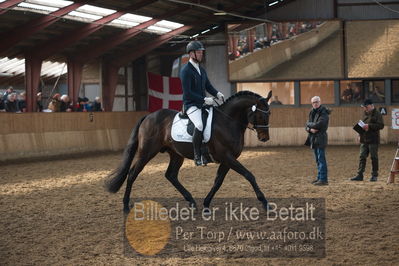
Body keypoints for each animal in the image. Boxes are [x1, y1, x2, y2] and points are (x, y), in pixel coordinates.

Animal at [104, 90, 274, 213]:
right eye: (261, 114)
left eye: (269, 114)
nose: (265, 138)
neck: (228, 121)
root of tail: (148, 116)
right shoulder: (227, 157)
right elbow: (249, 175)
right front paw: (265, 203)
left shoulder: (227, 159)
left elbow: (218, 181)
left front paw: (206, 204)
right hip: (146, 152)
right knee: (132, 174)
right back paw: (126, 206)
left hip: (176, 154)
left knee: (171, 175)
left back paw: (191, 201)